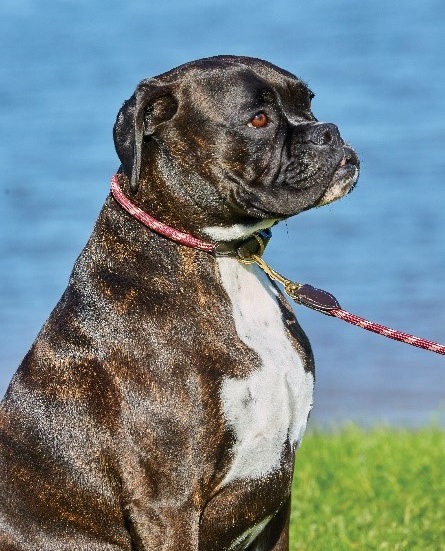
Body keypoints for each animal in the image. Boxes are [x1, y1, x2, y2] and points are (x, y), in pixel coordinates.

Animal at [0, 54, 360, 548]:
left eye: (307, 104)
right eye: (259, 119)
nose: (329, 131)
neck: (224, 256)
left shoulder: (278, 503)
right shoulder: (167, 504)